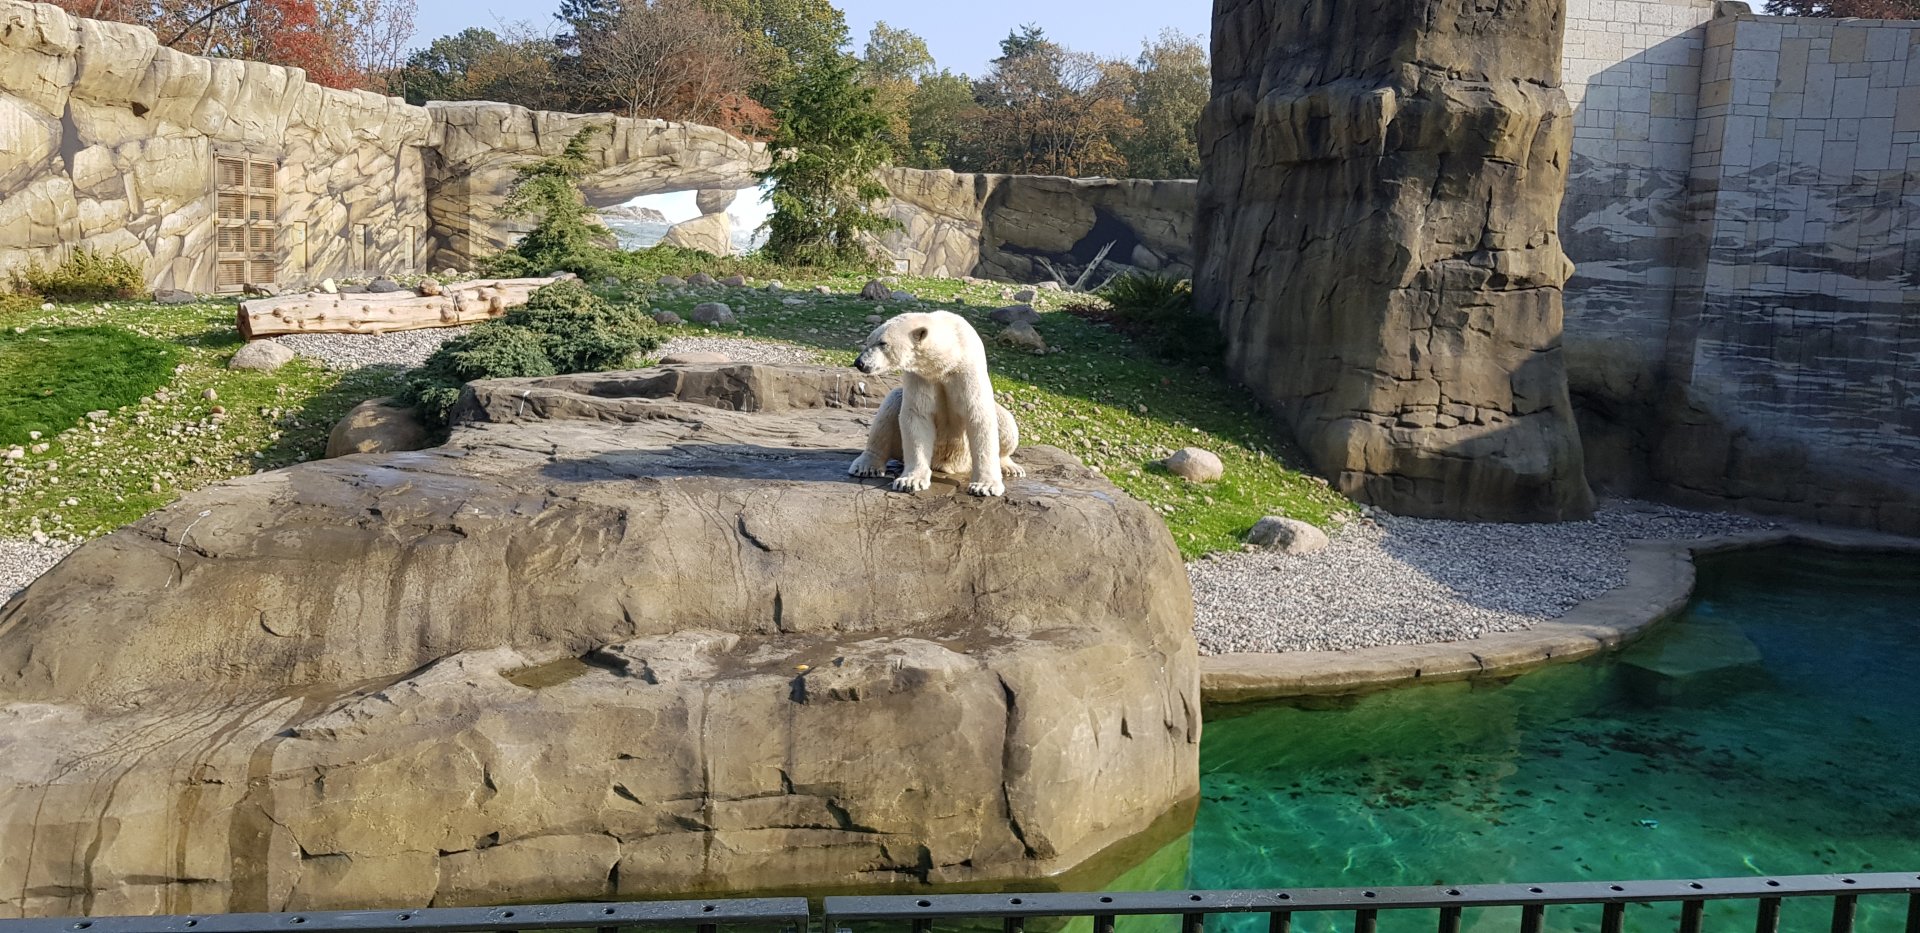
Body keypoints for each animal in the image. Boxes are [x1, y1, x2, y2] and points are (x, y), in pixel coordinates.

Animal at [849, 310, 1025, 497]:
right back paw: (865, 466)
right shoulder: (921, 377)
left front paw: (984, 486)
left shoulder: (967, 370)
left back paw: (1010, 467)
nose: (859, 362)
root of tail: (947, 465)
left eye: (883, 343)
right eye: (868, 340)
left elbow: (978, 416)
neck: (949, 358)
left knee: (1006, 422)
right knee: (891, 405)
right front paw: (910, 481)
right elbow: (917, 415)